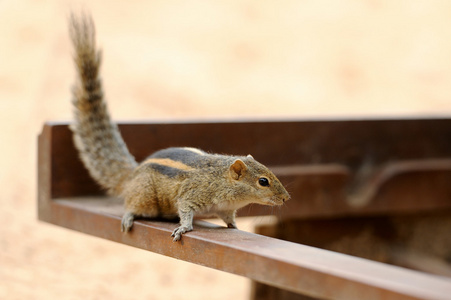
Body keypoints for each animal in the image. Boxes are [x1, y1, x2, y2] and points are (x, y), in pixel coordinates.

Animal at [69, 13, 292, 241]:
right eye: (263, 181)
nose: (285, 198)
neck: (222, 180)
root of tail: (131, 176)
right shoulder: (191, 194)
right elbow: (185, 211)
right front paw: (183, 228)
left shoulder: (225, 209)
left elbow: (229, 219)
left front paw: (234, 227)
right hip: (145, 197)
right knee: (133, 205)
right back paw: (130, 216)